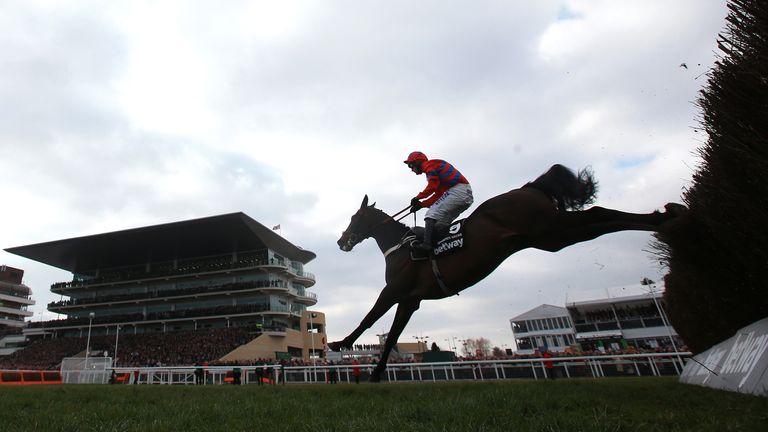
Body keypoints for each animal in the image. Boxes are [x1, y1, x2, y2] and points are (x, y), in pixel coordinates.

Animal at [330, 163, 684, 382]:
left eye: (354, 218)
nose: (340, 241)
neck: (401, 248)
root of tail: (528, 187)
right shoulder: (410, 300)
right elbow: (392, 335)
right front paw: (376, 373)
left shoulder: (394, 291)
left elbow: (370, 318)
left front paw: (340, 344)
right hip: (552, 237)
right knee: (600, 218)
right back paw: (666, 217)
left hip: (551, 228)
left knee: (598, 214)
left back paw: (666, 219)